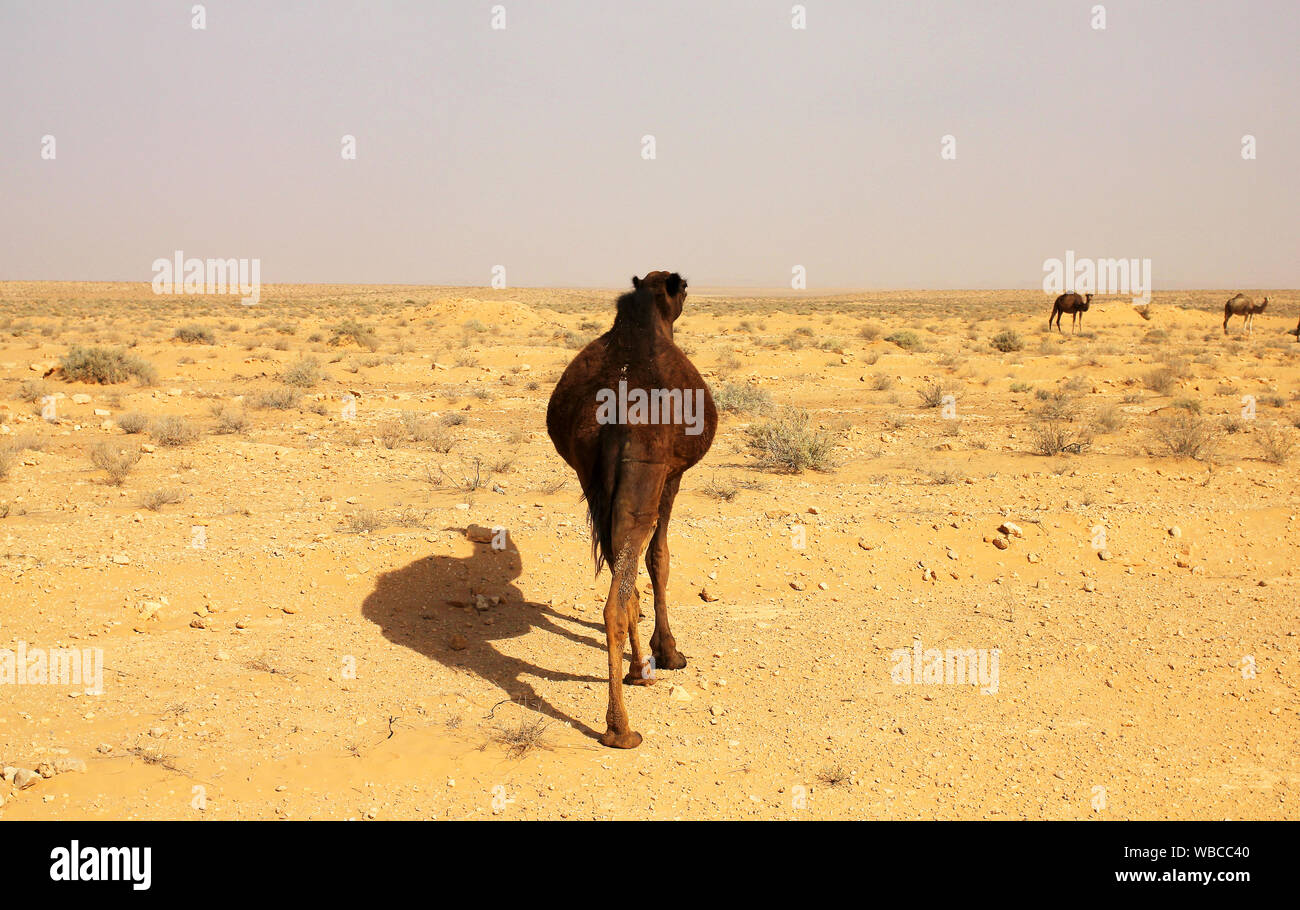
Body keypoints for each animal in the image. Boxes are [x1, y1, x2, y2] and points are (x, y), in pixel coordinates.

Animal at [543, 267, 717, 748]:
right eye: (683, 288)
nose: (687, 294)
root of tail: (613, 415)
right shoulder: (672, 476)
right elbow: (661, 558)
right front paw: (670, 651)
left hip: (595, 481)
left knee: (620, 579)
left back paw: (637, 673)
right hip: (643, 478)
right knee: (616, 599)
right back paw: (620, 726)